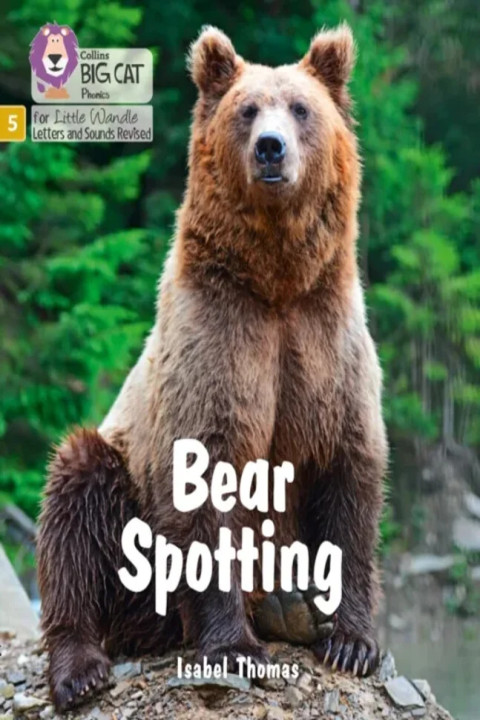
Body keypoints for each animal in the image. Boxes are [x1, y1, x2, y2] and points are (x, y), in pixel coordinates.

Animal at [37, 23, 387, 711]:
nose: (271, 149)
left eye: (300, 107)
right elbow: (205, 479)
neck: (276, 282)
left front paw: (352, 641)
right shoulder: (217, 340)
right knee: (74, 501)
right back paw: (80, 666)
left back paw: (288, 608)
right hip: (122, 498)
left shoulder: (327, 344)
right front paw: (233, 647)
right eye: (247, 110)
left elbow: (350, 475)